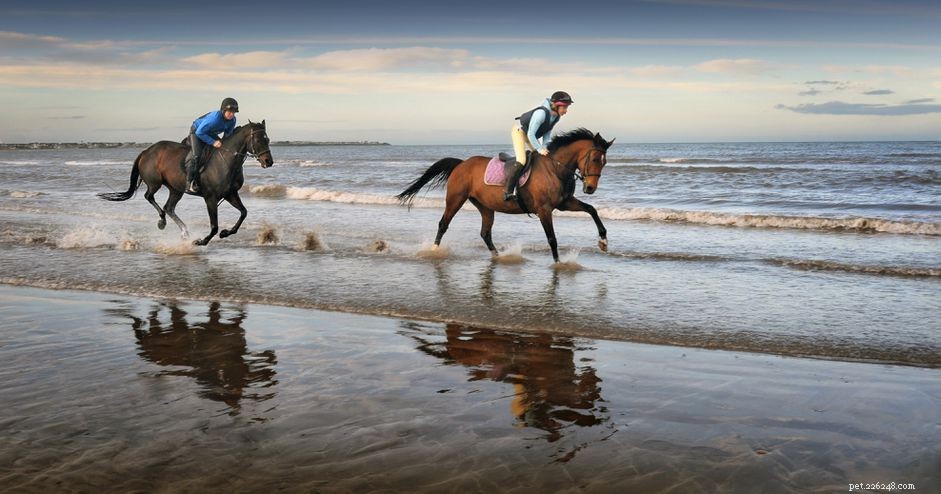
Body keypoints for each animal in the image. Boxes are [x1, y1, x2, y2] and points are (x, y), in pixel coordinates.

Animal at [98, 121, 274, 246]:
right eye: (258, 139)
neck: (226, 161)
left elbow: (244, 213)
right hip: (155, 183)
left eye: (268, 139)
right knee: (149, 196)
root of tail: (146, 151)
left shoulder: (230, 194)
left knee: (169, 207)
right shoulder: (210, 198)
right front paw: (201, 241)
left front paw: (225, 233)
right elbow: (214, 226)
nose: (268, 161)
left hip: (176, 189)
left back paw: (184, 232)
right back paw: (162, 222)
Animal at [396, 128, 614, 263]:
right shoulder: (544, 210)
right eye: (595, 158)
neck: (555, 168)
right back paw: (433, 251)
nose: (590, 188)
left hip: (485, 206)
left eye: (604, 162)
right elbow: (552, 238)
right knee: (443, 224)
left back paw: (499, 257)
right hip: (455, 199)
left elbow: (591, 210)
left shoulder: (564, 203)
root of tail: (461, 164)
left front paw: (603, 241)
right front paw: (558, 263)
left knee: (485, 233)